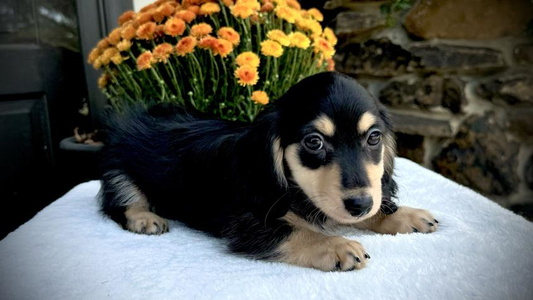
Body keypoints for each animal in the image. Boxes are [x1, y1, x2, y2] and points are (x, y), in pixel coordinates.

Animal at [98, 72, 436, 272]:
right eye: (314, 142)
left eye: (374, 138)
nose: (360, 204)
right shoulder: (246, 224)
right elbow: (297, 231)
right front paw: (336, 245)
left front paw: (404, 215)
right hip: (116, 170)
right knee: (120, 201)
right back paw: (145, 218)